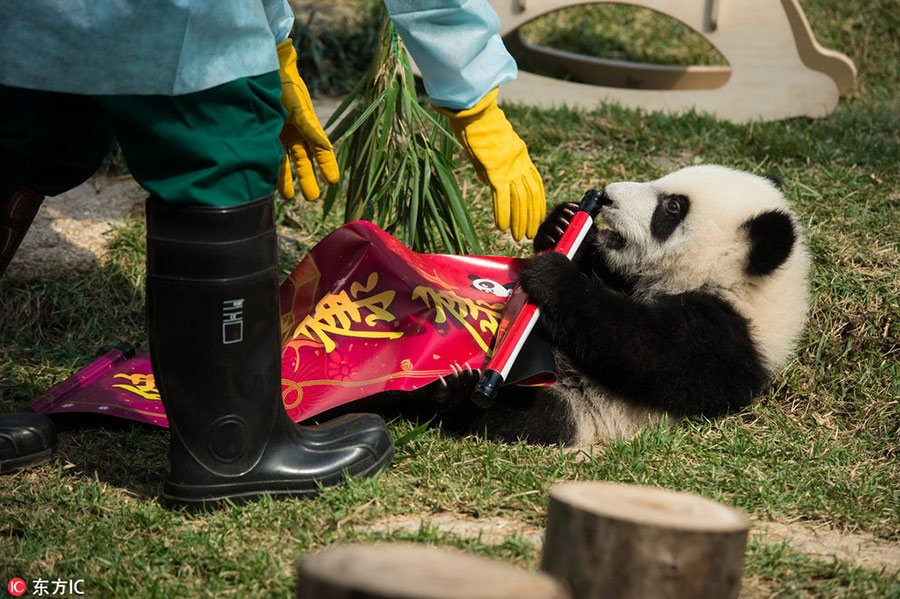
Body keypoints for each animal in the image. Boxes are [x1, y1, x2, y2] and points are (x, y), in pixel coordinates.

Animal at [324, 165, 810, 445]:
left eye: (672, 208)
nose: (607, 195)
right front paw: (562, 224)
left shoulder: (726, 337)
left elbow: (643, 351)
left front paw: (554, 276)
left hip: (585, 411)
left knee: (524, 417)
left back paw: (448, 392)